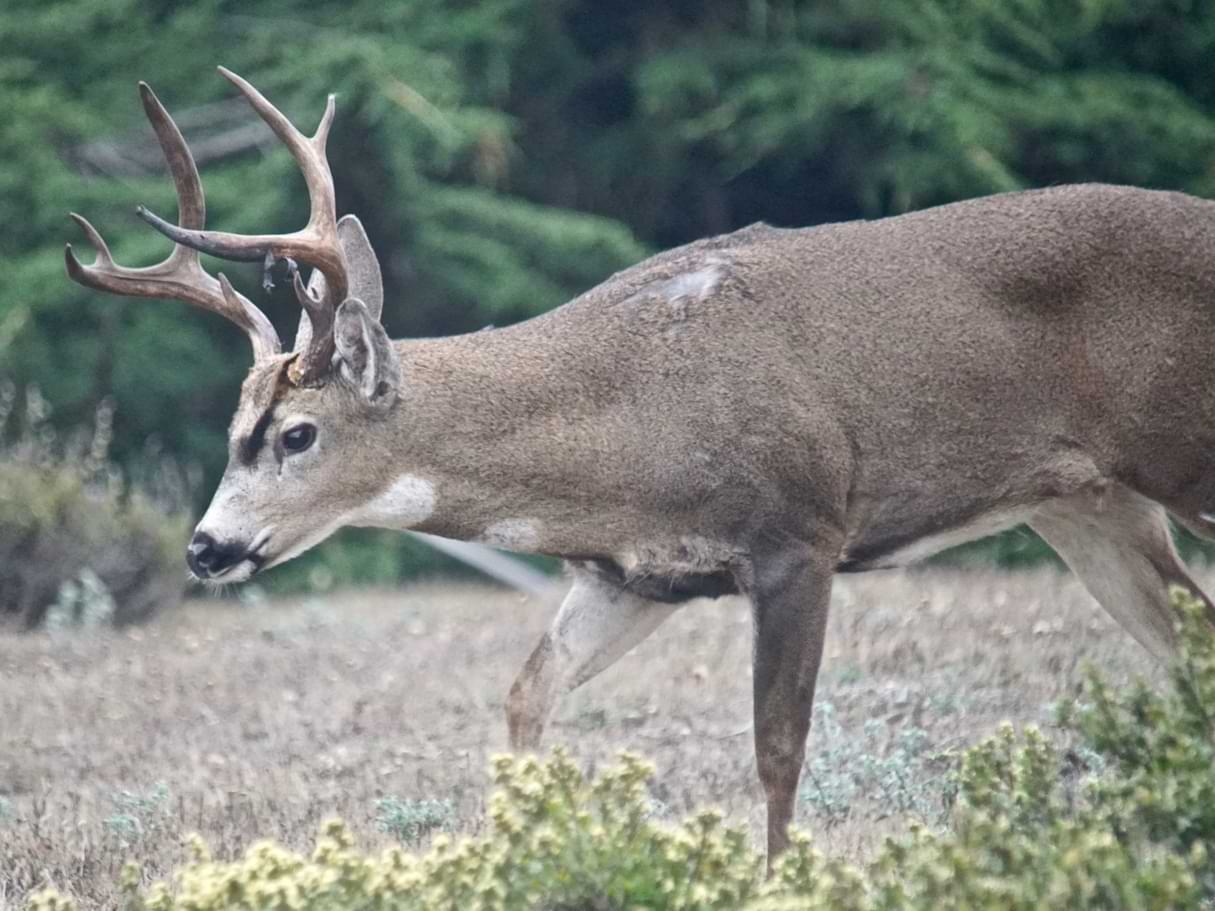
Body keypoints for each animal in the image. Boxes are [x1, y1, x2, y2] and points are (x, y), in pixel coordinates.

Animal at [66, 68, 1215, 862]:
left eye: (297, 433)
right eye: (234, 425)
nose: (206, 547)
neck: (628, 428)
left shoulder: (801, 532)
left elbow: (777, 745)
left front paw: (776, 875)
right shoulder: (632, 575)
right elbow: (525, 697)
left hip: (1179, 453)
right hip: (1085, 502)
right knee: (1186, 641)